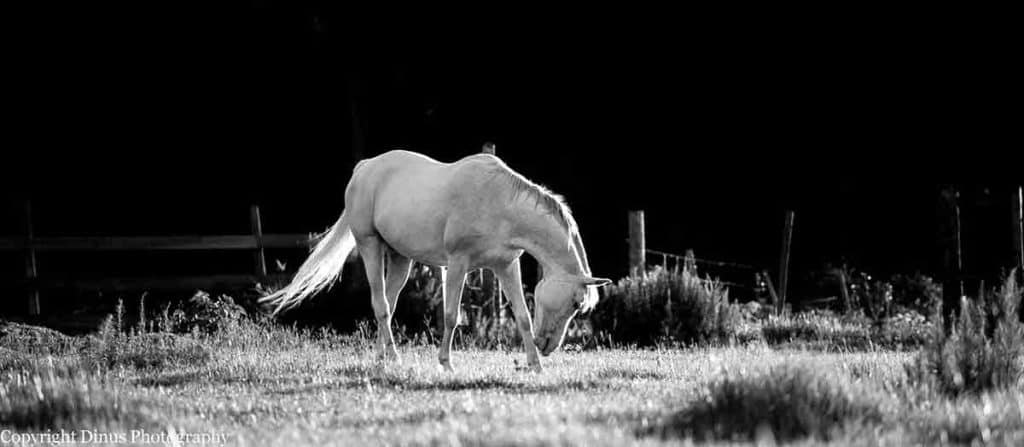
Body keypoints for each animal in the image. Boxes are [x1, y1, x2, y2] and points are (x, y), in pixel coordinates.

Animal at [259, 149, 610, 371]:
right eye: (577, 303)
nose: (548, 346)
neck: (499, 203)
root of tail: (365, 168)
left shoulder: (505, 267)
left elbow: (522, 316)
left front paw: (534, 365)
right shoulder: (457, 264)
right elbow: (452, 315)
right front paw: (446, 363)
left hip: (400, 259)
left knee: (387, 304)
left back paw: (381, 359)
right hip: (370, 245)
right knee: (379, 303)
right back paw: (395, 359)